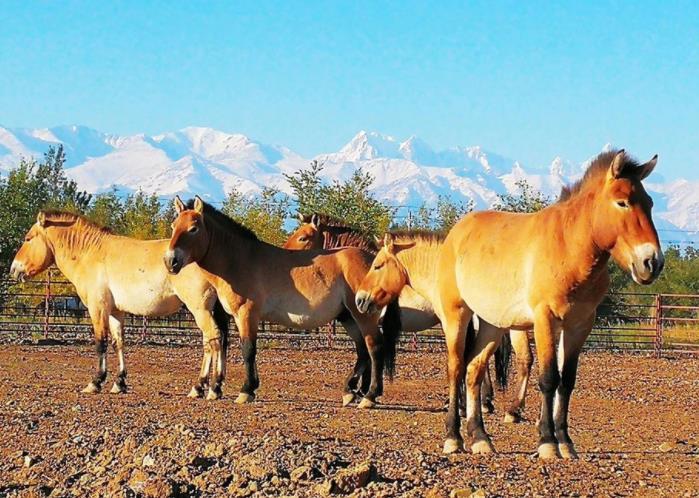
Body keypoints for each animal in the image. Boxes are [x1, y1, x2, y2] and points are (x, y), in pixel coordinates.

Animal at [10, 212, 230, 398]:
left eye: (28, 238)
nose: (14, 269)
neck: (91, 254)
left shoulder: (98, 309)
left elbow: (101, 343)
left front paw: (96, 382)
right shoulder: (116, 312)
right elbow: (119, 343)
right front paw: (119, 382)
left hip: (199, 309)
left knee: (213, 339)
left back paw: (208, 387)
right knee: (215, 341)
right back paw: (208, 386)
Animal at [164, 197, 402, 408]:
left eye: (193, 228)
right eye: (174, 225)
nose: (170, 261)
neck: (239, 260)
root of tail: (374, 261)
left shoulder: (247, 314)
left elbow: (248, 349)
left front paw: (246, 390)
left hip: (363, 315)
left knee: (374, 348)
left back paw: (369, 396)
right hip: (348, 317)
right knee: (362, 350)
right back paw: (349, 392)